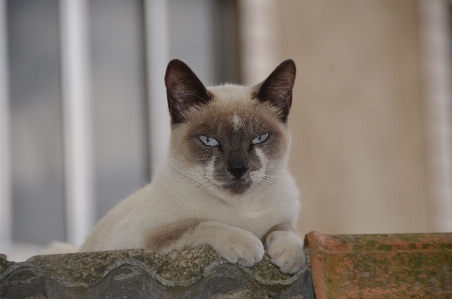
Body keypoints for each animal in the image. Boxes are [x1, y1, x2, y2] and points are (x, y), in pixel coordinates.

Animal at [42, 59, 306, 276]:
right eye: (209, 141)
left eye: (260, 138)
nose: (238, 169)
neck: (241, 209)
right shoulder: (137, 239)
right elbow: (196, 224)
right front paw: (248, 245)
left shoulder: (285, 219)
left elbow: (286, 230)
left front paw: (291, 258)